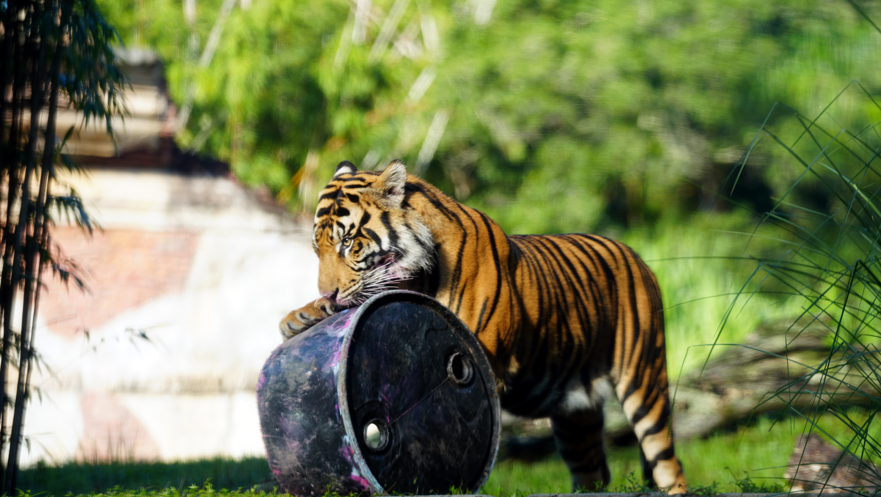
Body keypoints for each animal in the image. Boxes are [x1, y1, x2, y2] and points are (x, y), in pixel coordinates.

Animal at [280, 159, 687, 493]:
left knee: (668, 464)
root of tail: (638, 256)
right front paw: (300, 316)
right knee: (594, 474)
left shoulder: (482, 357)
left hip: (643, 381)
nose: (328, 292)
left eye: (349, 243)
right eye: (318, 249)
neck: (421, 276)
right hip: (576, 417)